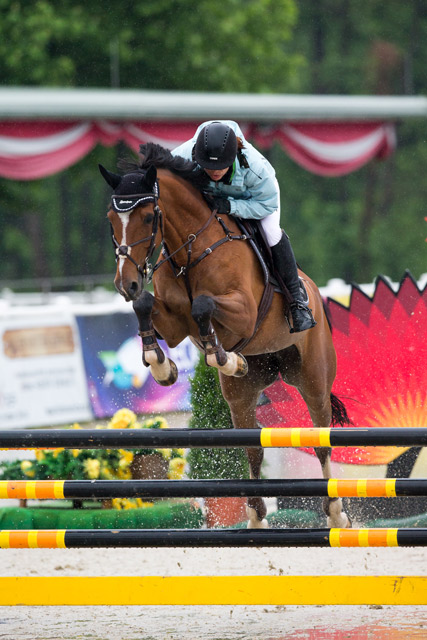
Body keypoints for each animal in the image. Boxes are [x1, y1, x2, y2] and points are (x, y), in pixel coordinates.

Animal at [99, 145, 352, 528]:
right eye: (112, 219)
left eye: (146, 217)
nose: (124, 284)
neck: (190, 249)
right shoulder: (175, 326)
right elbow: (148, 307)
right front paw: (162, 366)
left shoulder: (244, 313)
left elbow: (203, 305)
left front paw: (223, 356)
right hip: (241, 397)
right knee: (253, 448)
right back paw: (256, 517)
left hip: (314, 381)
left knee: (321, 442)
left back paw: (337, 516)